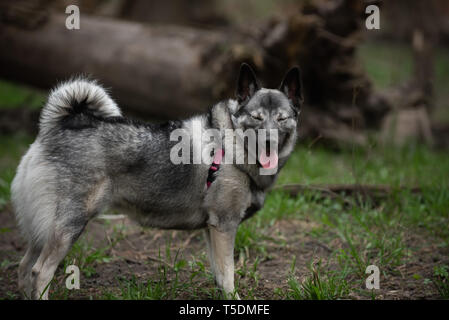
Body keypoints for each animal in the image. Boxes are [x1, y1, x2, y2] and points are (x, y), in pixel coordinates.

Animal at [11, 63, 300, 298]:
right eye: (256, 118)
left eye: (282, 119)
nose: (269, 140)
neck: (232, 144)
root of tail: (54, 128)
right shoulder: (224, 226)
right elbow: (228, 277)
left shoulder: (212, 229)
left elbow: (219, 274)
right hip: (69, 226)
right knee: (39, 273)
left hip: (45, 229)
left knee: (24, 268)